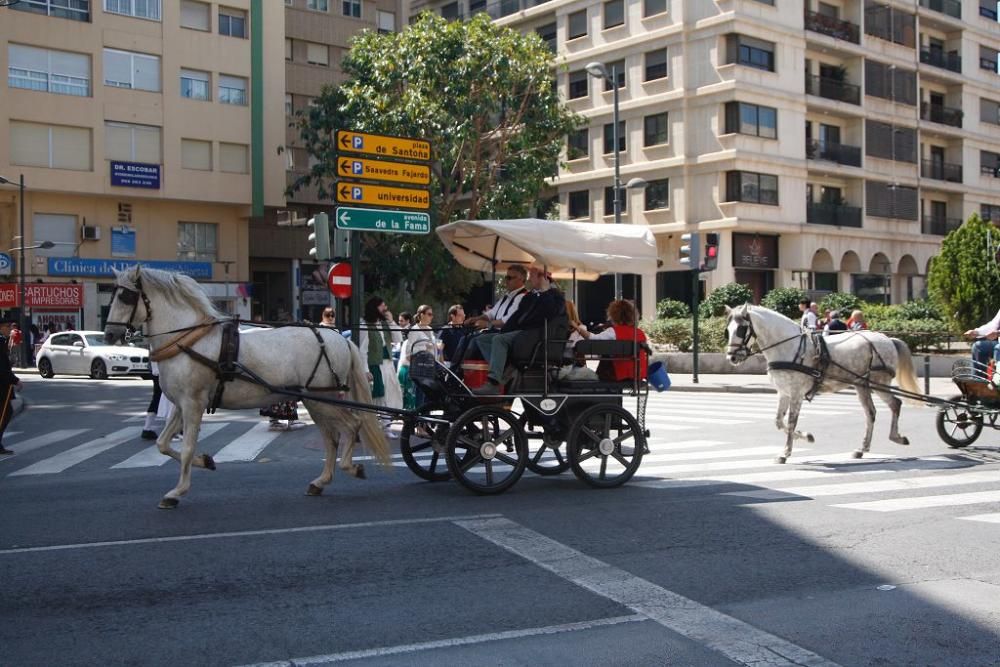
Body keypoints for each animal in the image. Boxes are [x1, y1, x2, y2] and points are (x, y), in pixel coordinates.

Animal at [103, 264, 388, 508]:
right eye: (113, 294)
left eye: (126, 297)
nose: (109, 334)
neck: (188, 340)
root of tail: (340, 338)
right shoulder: (180, 404)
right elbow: (163, 444)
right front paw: (205, 461)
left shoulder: (193, 404)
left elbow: (186, 449)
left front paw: (177, 492)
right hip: (315, 400)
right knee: (331, 438)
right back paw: (321, 481)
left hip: (321, 398)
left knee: (352, 425)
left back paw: (351, 467)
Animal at [720, 306, 920, 462]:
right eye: (727, 330)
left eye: (742, 329)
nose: (732, 357)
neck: (789, 346)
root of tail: (887, 339)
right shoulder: (783, 393)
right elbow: (778, 421)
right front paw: (805, 436)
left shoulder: (796, 394)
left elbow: (791, 422)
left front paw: (786, 452)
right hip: (862, 385)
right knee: (871, 413)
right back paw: (862, 449)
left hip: (879, 383)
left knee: (895, 404)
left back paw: (896, 437)